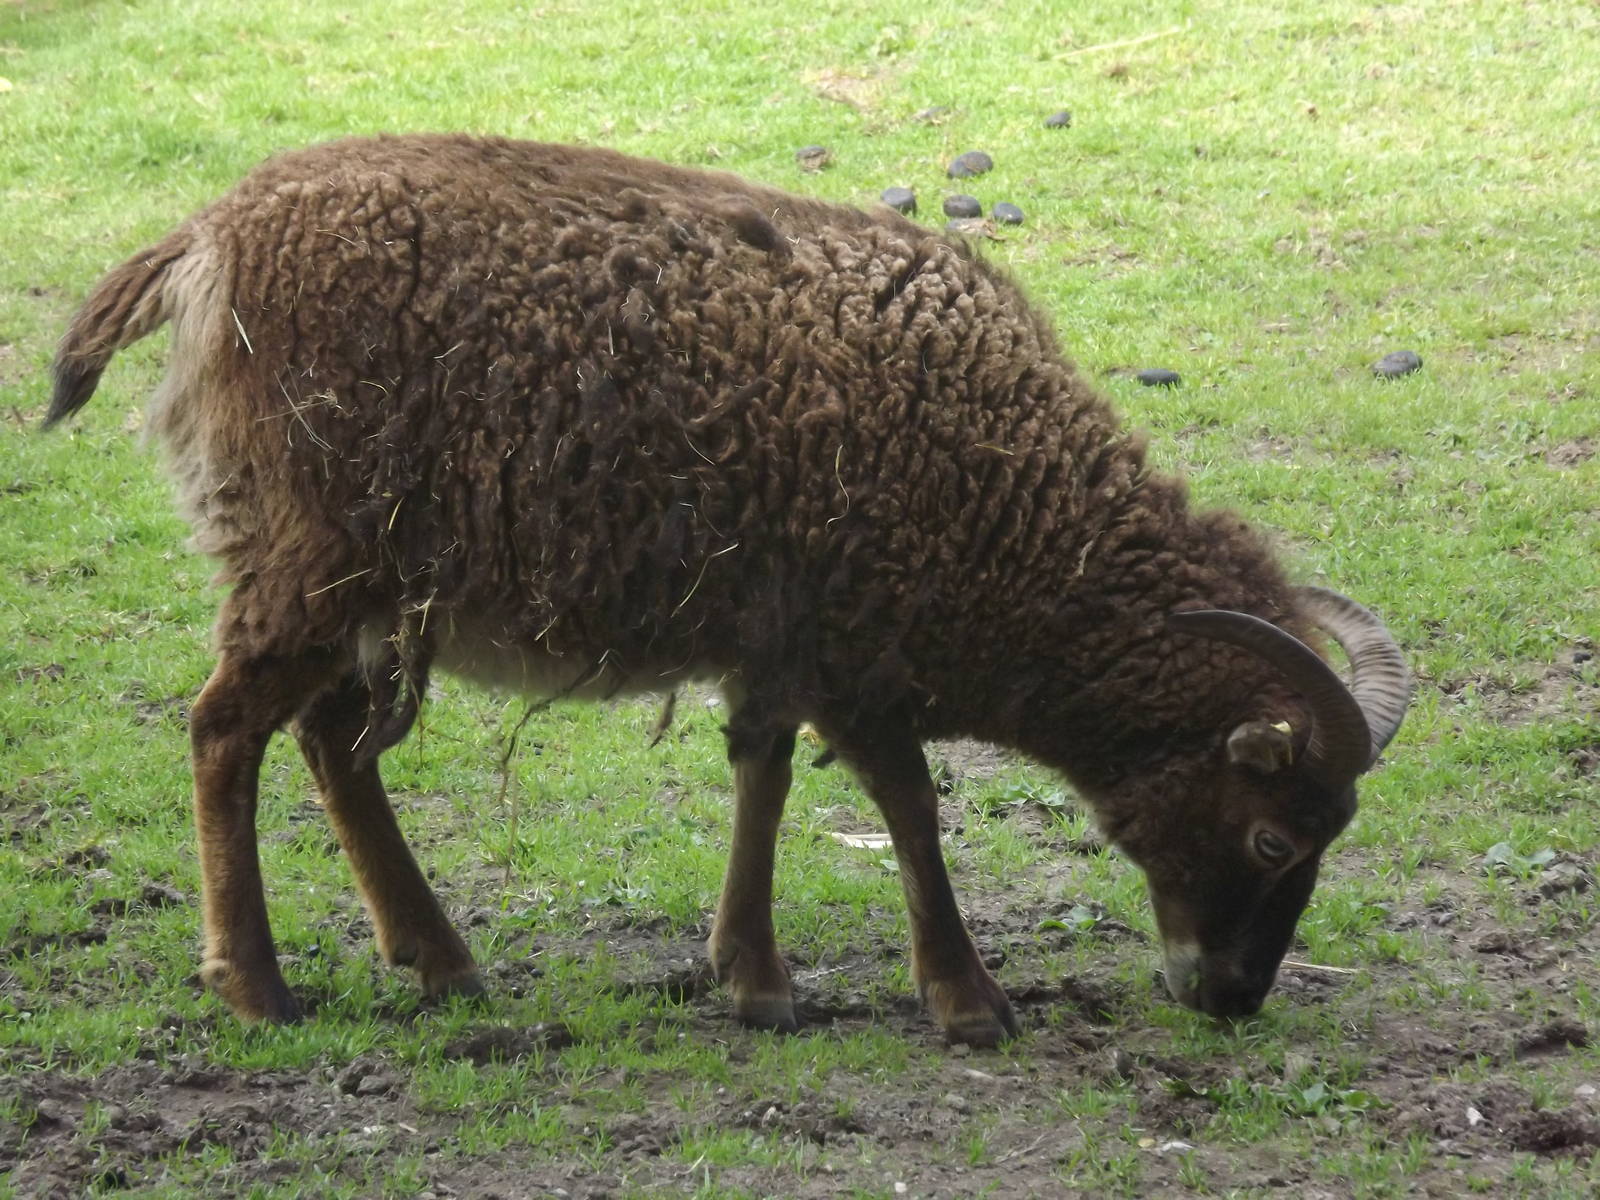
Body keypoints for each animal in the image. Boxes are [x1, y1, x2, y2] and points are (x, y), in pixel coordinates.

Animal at [48, 134, 1412, 1046]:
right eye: (1273, 834)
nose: (1229, 999)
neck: (1016, 516)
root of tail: (203, 244)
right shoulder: (858, 648)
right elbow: (909, 804)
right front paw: (966, 998)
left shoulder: (782, 638)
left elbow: (762, 771)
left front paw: (751, 977)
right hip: (308, 560)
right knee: (226, 730)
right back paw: (258, 986)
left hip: (370, 588)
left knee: (330, 739)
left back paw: (437, 958)